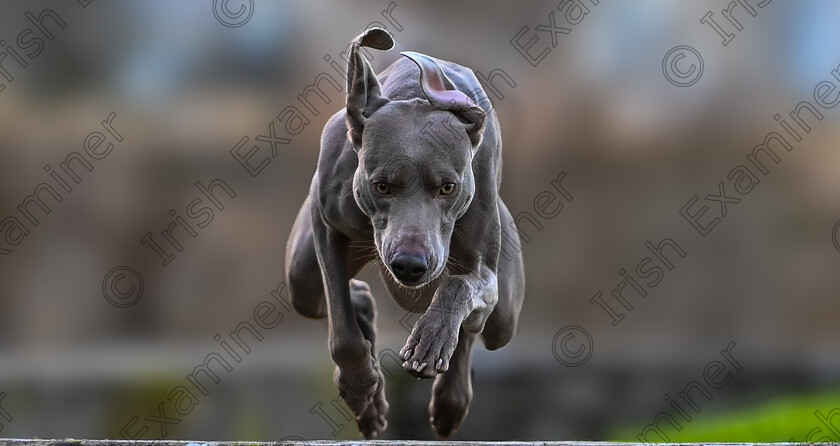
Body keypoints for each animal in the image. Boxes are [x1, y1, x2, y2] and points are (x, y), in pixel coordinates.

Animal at [288, 27, 524, 440]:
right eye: (381, 185)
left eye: (448, 187)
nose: (410, 264)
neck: (415, 93)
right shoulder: (326, 220)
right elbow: (341, 324)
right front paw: (360, 386)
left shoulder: (487, 274)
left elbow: (460, 286)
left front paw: (431, 340)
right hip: (301, 272)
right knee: (320, 293)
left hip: (504, 316)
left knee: (477, 327)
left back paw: (450, 397)